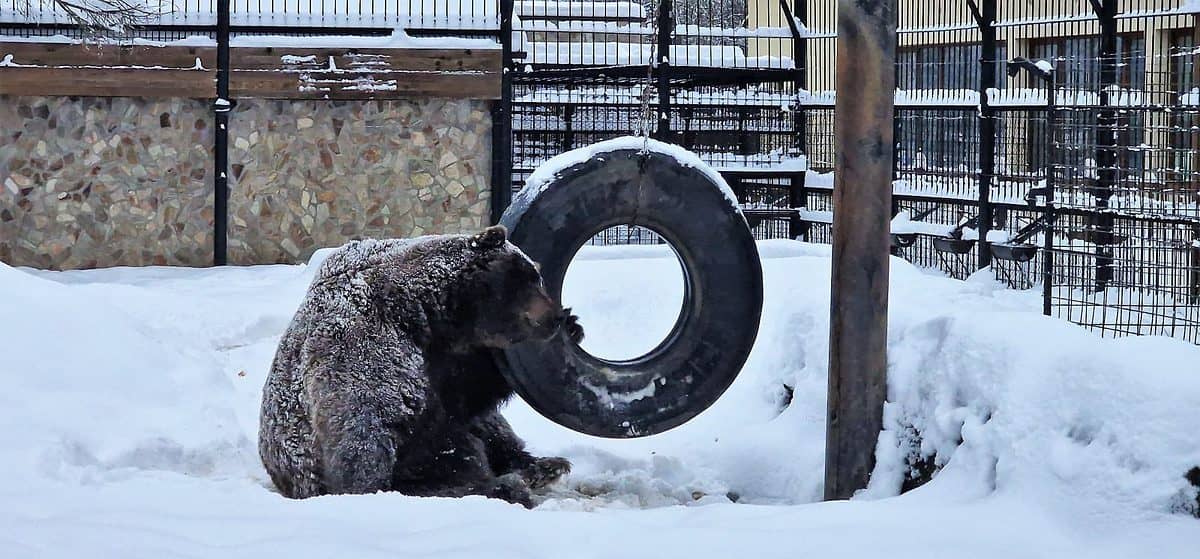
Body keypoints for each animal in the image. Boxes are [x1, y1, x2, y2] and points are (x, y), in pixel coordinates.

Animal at [259, 225, 580, 506]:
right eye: (527, 278)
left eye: (536, 275)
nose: (555, 318)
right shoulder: (365, 347)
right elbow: (365, 435)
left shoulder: (444, 361)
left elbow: (466, 397)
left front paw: (575, 325)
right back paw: (505, 485)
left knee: (493, 429)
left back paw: (543, 465)